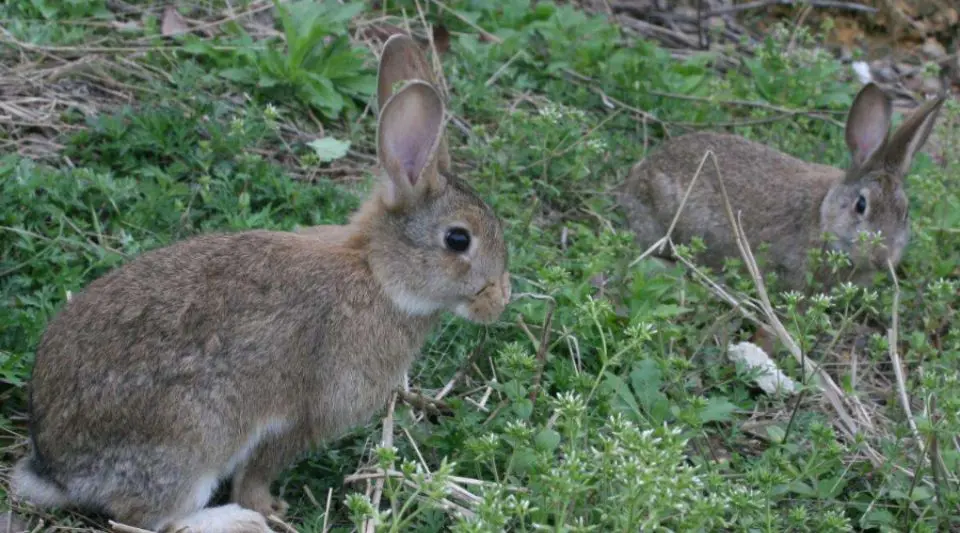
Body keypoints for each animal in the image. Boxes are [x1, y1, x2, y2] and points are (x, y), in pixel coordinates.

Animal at [11, 34, 512, 532]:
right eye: (458, 239)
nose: (501, 299)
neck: (377, 275)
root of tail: (56, 469)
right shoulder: (300, 419)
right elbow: (258, 472)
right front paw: (268, 509)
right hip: (192, 439)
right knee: (151, 517)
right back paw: (237, 519)